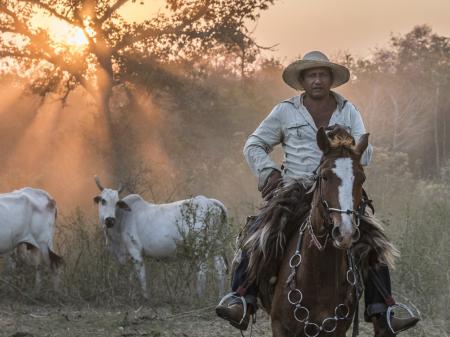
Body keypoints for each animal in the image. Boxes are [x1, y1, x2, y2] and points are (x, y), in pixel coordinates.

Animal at [94, 176, 229, 296]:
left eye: (117, 202)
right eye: (103, 201)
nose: (110, 220)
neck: (122, 219)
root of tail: (209, 202)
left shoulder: (135, 251)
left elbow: (141, 276)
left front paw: (145, 297)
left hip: (200, 246)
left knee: (202, 270)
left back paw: (199, 296)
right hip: (217, 244)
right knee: (220, 269)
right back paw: (221, 296)